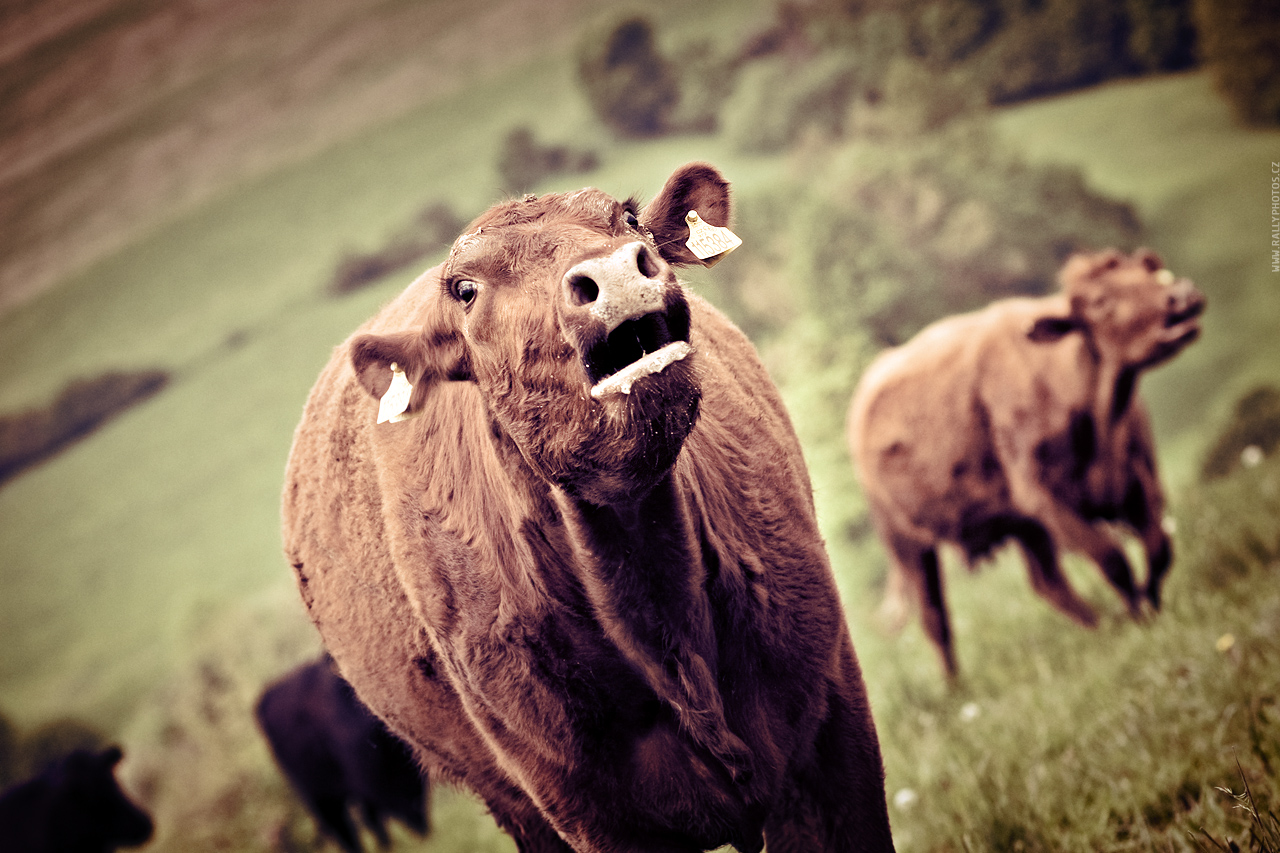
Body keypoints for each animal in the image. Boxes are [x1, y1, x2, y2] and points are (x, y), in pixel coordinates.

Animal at [849, 245, 1198, 676]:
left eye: (1150, 274)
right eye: (1100, 301)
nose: (1181, 297)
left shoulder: (1135, 475)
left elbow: (1158, 547)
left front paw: (1150, 604)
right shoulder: (1045, 499)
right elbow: (1111, 557)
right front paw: (1139, 615)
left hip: (1020, 524)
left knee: (1045, 581)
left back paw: (1099, 625)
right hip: (904, 539)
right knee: (934, 617)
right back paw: (956, 685)